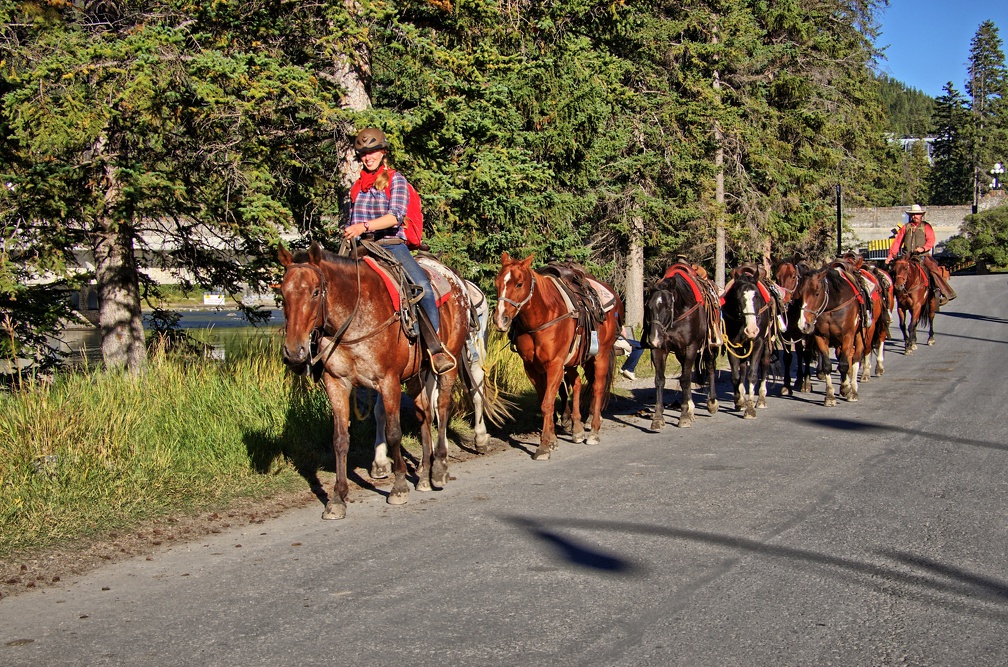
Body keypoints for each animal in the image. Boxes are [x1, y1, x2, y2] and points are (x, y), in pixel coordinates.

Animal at [280, 242, 475, 519]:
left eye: (316, 292)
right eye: (283, 293)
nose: (293, 352)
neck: (355, 315)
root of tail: (455, 278)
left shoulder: (388, 380)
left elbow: (393, 433)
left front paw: (399, 486)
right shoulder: (336, 382)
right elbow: (340, 439)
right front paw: (337, 498)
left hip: (449, 363)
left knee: (442, 407)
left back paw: (439, 469)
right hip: (416, 375)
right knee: (424, 413)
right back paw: (424, 475)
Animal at [493, 253, 624, 463]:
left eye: (519, 284)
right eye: (497, 283)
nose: (500, 320)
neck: (543, 315)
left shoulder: (554, 364)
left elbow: (547, 403)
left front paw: (544, 446)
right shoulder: (531, 367)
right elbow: (545, 400)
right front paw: (553, 439)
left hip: (600, 354)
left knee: (597, 387)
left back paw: (594, 432)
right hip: (575, 360)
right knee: (577, 383)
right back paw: (577, 429)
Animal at [641, 263, 721, 431]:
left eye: (667, 306)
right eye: (649, 306)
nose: (654, 339)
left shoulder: (691, 347)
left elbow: (684, 379)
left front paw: (684, 416)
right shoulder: (659, 350)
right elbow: (660, 380)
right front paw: (658, 418)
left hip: (708, 346)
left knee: (710, 367)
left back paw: (712, 402)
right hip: (679, 352)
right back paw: (691, 408)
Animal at [721, 265, 774, 419]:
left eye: (757, 296)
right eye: (737, 298)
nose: (751, 330)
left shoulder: (758, 343)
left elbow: (752, 375)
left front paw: (750, 408)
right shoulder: (732, 345)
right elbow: (736, 376)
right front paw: (739, 401)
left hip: (766, 345)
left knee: (764, 364)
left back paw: (761, 399)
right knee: (743, 368)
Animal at [786, 265, 866, 407]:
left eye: (817, 293)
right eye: (800, 293)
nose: (804, 324)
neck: (833, 306)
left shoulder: (848, 336)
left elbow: (844, 364)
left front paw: (846, 389)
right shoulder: (820, 337)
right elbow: (827, 365)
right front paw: (830, 396)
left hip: (859, 335)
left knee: (855, 358)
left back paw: (853, 390)